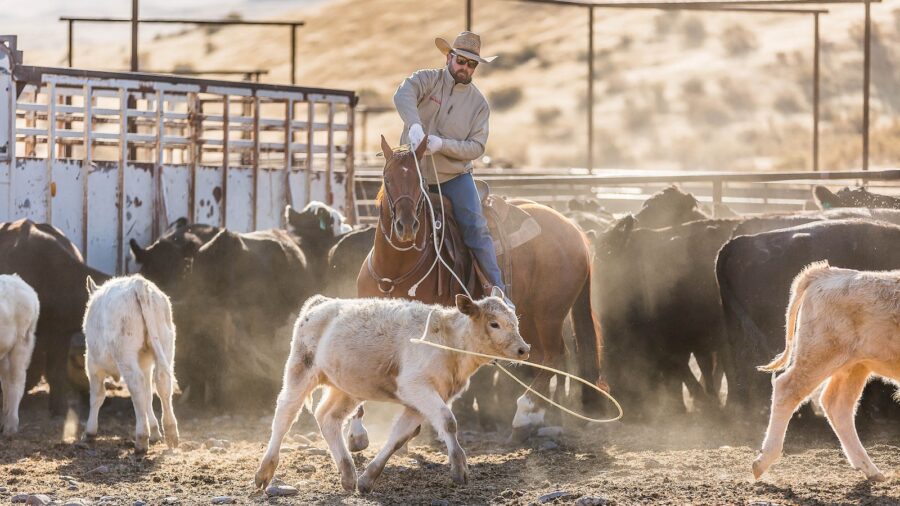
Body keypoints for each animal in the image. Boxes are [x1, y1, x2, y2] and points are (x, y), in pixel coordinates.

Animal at [82, 275, 179, 453]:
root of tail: (138, 283)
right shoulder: (146, 365)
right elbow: (148, 396)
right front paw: (155, 432)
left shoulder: (92, 365)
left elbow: (97, 396)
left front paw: (90, 432)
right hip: (166, 344)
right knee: (161, 383)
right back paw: (170, 433)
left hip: (124, 353)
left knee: (136, 385)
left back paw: (141, 439)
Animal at [255, 289, 527, 494]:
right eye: (494, 323)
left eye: (515, 322)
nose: (524, 349)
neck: (447, 340)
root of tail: (321, 303)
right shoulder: (416, 386)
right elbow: (448, 421)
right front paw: (459, 468)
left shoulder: (419, 401)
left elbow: (398, 436)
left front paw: (368, 479)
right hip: (301, 370)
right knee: (285, 415)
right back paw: (265, 470)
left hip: (347, 388)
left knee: (328, 418)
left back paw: (348, 473)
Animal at [349, 136, 602, 443]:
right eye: (387, 178)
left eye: (419, 180)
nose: (406, 226)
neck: (395, 270)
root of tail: (575, 231)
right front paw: (357, 430)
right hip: (529, 316)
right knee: (544, 356)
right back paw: (536, 417)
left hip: (549, 314)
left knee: (556, 356)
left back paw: (523, 416)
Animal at [752, 262, 900, 482]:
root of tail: (826, 273)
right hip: (820, 355)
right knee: (787, 390)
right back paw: (763, 460)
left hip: (854, 366)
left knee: (838, 406)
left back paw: (869, 469)